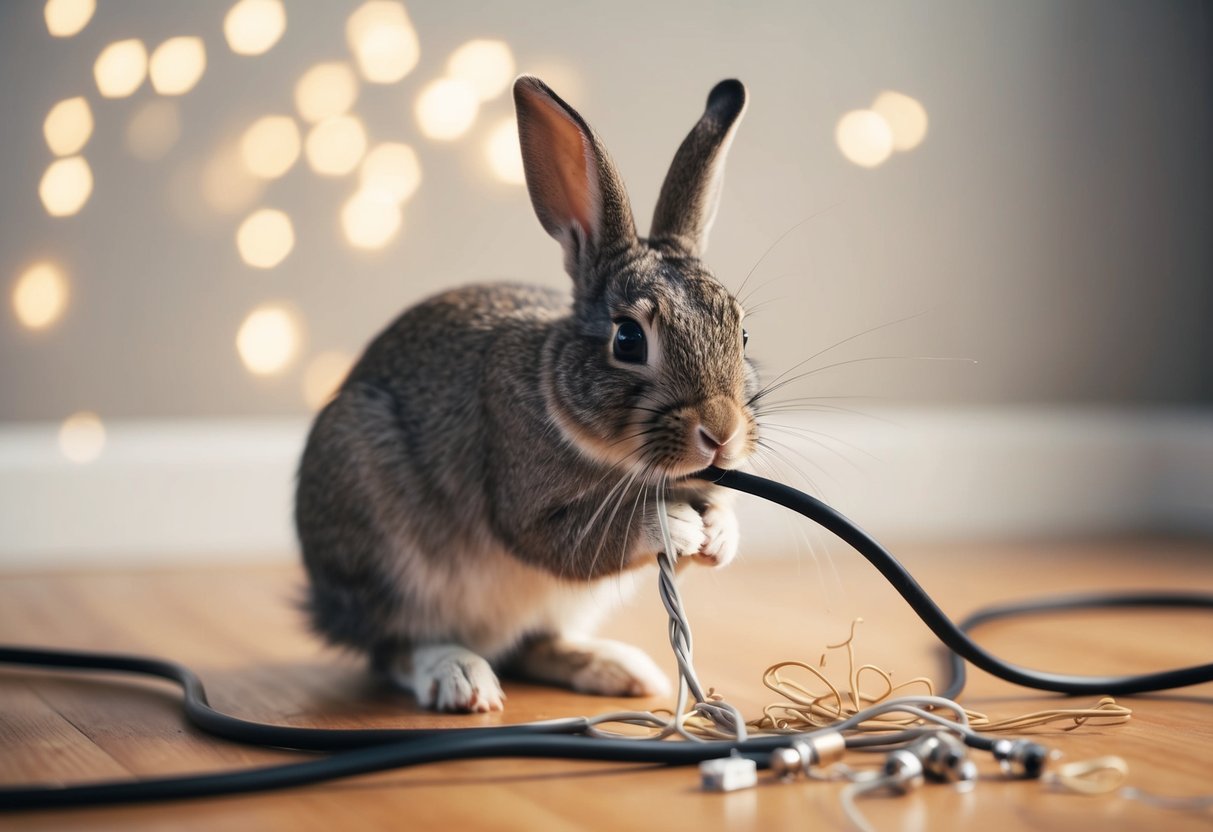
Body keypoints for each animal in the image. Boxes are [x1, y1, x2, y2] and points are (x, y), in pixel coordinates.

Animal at [295, 75, 758, 713]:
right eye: (628, 339)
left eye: (742, 334)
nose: (721, 432)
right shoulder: (522, 503)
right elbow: (567, 540)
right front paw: (674, 523)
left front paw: (721, 535)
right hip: (378, 541)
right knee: (396, 647)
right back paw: (461, 678)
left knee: (533, 644)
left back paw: (620, 669)